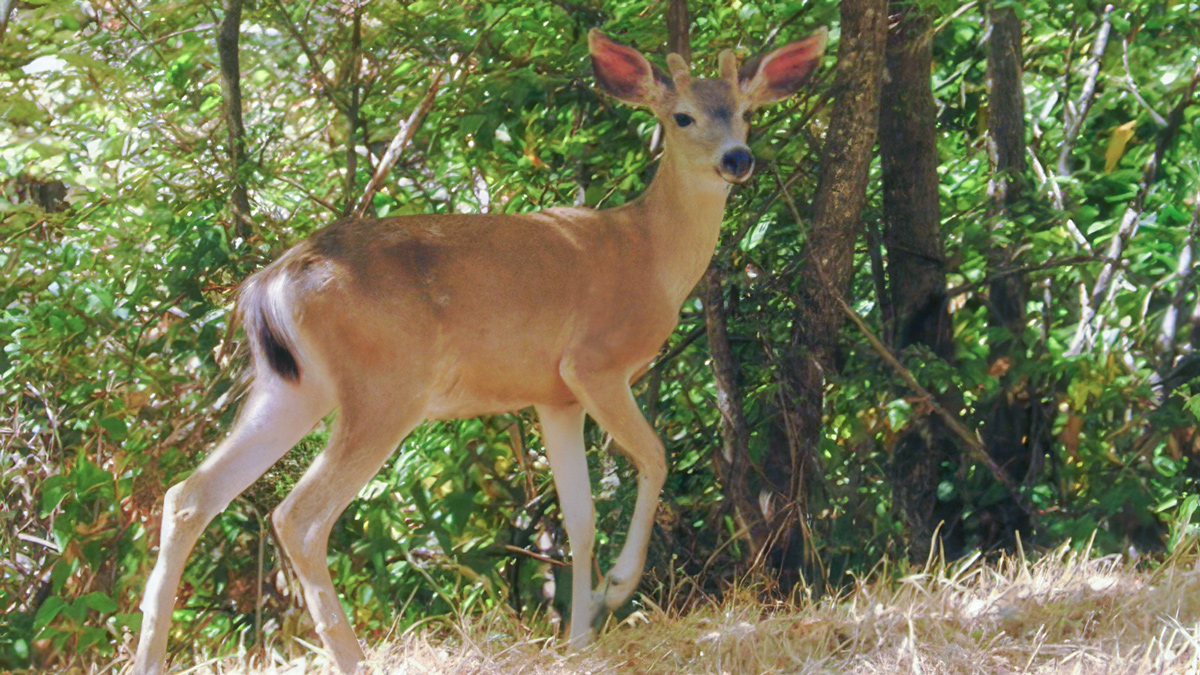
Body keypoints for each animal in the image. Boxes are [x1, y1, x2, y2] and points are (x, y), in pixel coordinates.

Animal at [131, 26, 826, 675]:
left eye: (745, 110)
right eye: (682, 116)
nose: (738, 158)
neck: (651, 254)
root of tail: (268, 284)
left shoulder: (554, 396)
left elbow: (578, 517)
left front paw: (578, 637)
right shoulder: (594, 361)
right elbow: (654, 456)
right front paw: (616, 589)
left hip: (292, 389)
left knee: (190, 495)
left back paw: (148, 654)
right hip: (383, 389)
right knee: (298, 516)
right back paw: (351, 655)